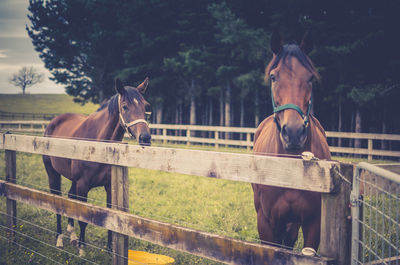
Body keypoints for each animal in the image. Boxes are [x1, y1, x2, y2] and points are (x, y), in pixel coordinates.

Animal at [43, 78, 151, 254]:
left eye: (145, 106)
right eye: (125, 106)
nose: (145, 137)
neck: (98, 145)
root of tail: (53, 122)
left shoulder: (109, 186)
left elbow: (109, 216)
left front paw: (109, 249)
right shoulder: (83, 185)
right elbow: (83, 218)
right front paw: (82, 249)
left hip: (73, 180)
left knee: (70, 197)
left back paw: (72, 236)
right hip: (53, 174)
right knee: (57, 201)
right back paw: (60, 239)